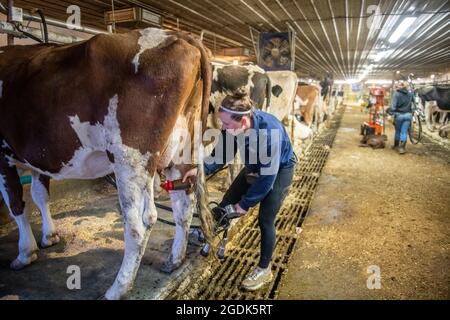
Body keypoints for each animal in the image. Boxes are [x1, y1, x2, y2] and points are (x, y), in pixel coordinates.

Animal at [0, 27, 214, 300]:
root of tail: (178, 36)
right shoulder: (41, 159)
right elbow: (40, 195)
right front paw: (49, 235)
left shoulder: (3, 154)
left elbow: (16, 203)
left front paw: (25, 253)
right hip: (180, 152)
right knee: (184, 205)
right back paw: (174, 260)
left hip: (129, 159)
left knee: (138, 224)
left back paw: (117, 289)